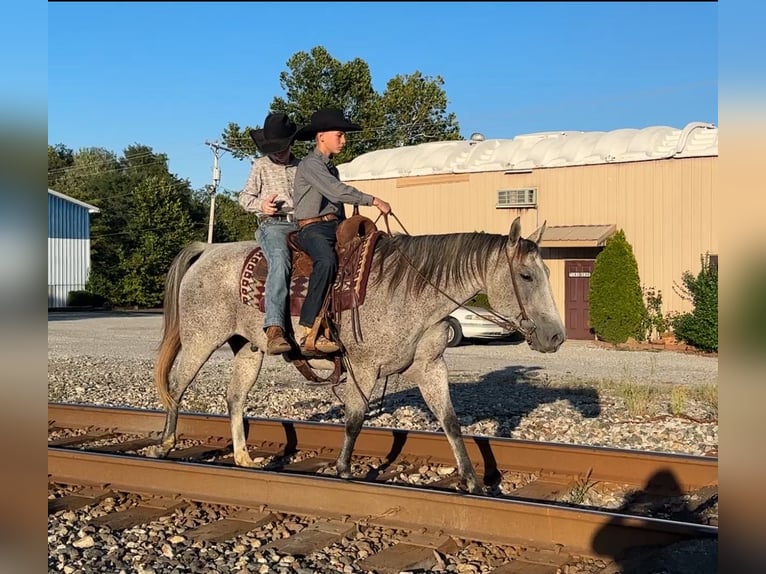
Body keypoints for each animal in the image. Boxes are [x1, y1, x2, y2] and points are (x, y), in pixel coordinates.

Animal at [151, 216, 566, 494]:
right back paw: (166, 445)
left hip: (249, 348)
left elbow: (449, 420)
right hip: (201, 338)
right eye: (526, 276)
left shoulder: (431, 367)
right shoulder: (363, 366)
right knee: (177, 385)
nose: (556, 336)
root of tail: (208, 250)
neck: (410, 291)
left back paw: (243, 458)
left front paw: (472, 481)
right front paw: (345, 470)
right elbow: (354, 419)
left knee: (235, 397)